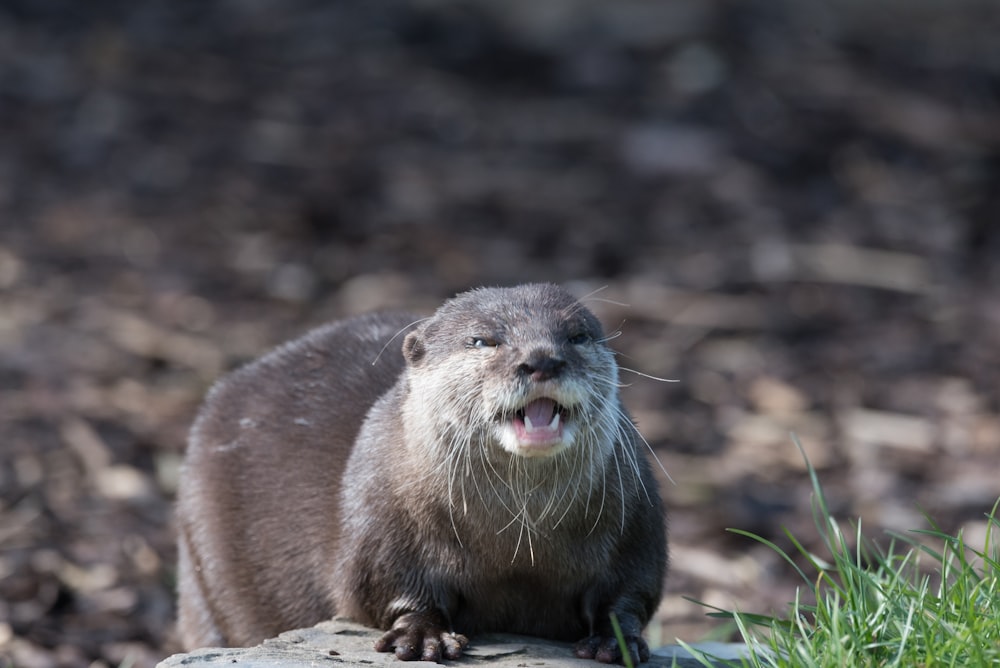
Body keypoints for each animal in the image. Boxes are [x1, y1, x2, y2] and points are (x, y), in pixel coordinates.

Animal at [176, 282, 668, 664]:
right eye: (483, 340)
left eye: (577, 336)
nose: (542, 359)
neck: (519, 540)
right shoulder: (381, 519)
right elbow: (386, 589)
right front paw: (421, 634)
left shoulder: (636, 520)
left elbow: (632, 591)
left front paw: (615, 640)